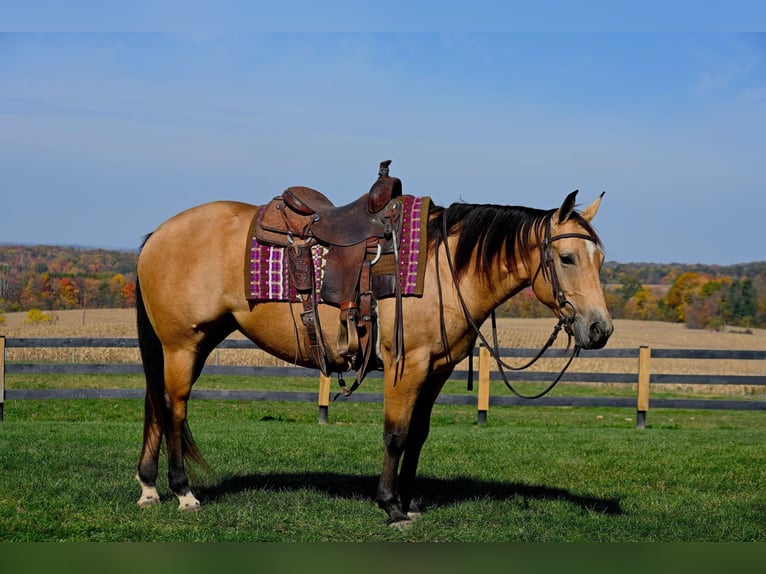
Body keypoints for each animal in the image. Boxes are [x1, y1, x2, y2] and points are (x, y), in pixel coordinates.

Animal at [130, 165, 612, 528]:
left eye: (601, 259)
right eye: (567, 258)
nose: (600, 329)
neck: (442, 268)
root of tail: (157, 234)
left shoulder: (437, 368)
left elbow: (418, 434)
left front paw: (411, 501)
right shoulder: (407, 363)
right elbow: (395, 434)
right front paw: (391, 506)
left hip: (196, 341)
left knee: (157, 402)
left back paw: (149, 488)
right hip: (181, 343)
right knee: (174, 407)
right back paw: (183, 492)